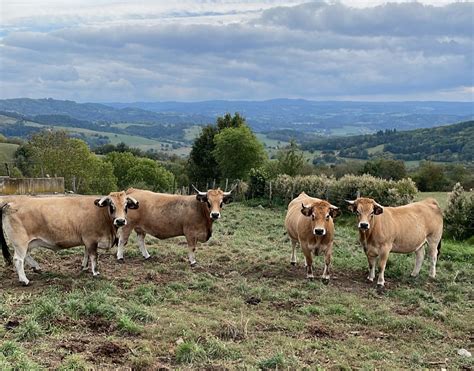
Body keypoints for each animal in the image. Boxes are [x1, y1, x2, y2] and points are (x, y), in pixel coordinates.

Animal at [0, 192, 139, 284]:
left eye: (126, 206)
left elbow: (86, 254)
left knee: (27, 256)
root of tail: (10, 202)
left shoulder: (87, 240)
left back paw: (36, 267)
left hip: (28, 243)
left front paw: (84, 267)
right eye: (112, 205)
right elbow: (94, 256)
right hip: (20, 242)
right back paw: (24, 280)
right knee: (18, 259)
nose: (120, 221)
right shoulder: (91, 239)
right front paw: (95, 272)